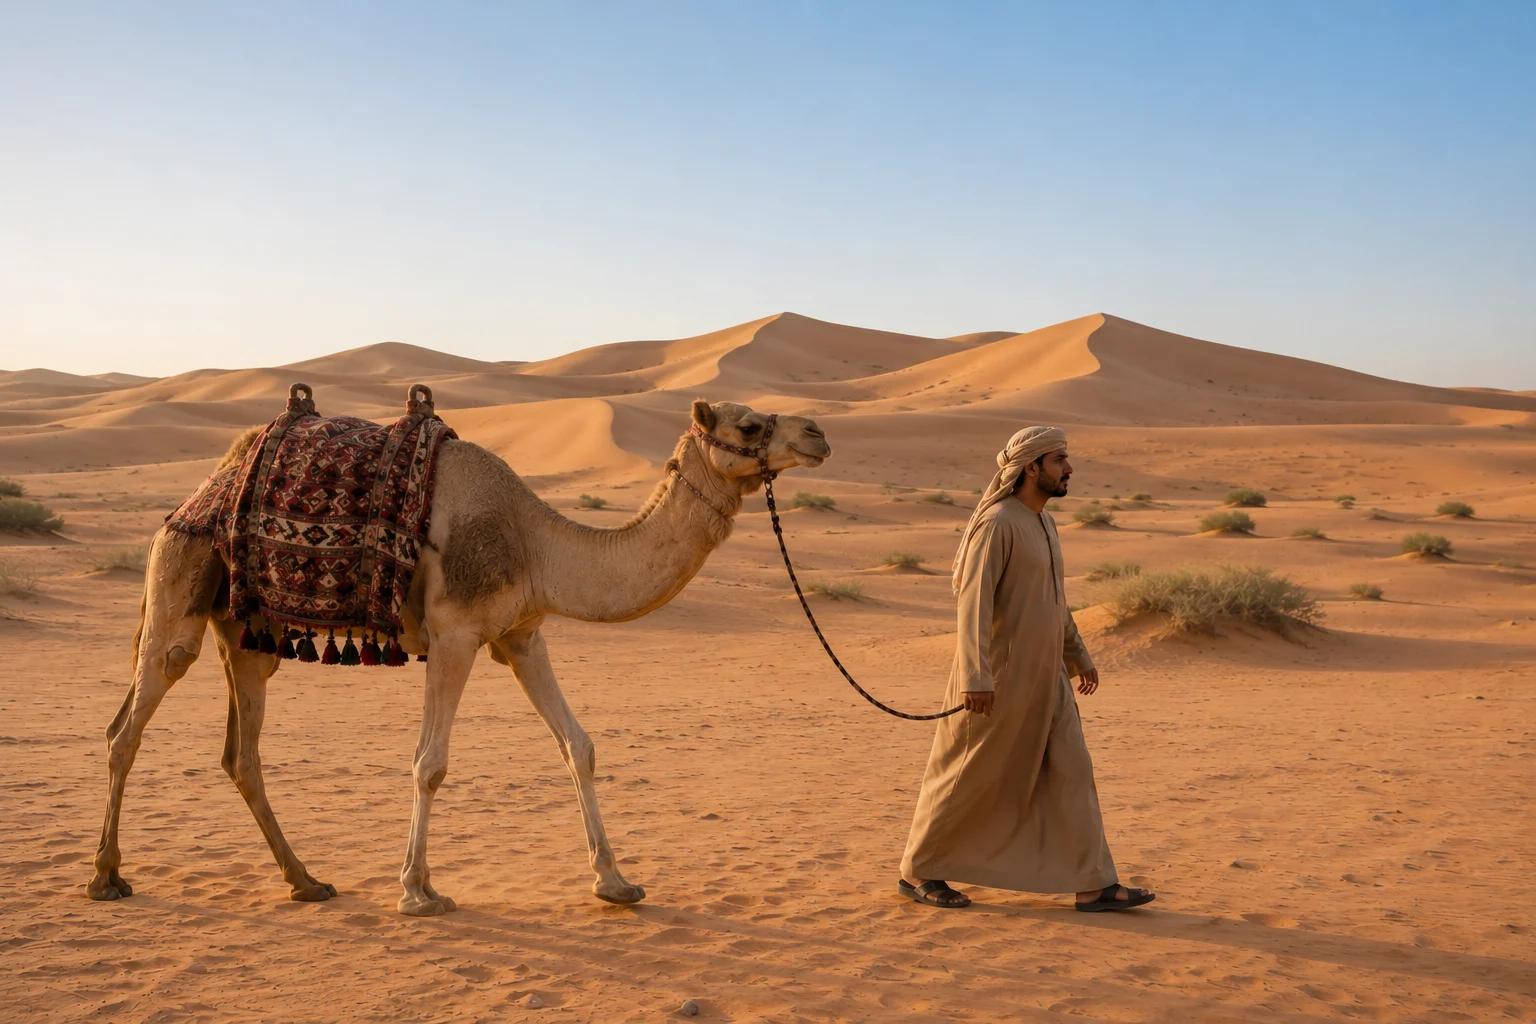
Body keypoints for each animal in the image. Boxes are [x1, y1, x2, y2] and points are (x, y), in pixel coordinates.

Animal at [88, 399, 831, 915]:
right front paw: (418, 891)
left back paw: (306, 881)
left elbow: (579, 745)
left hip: (246, 633)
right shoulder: (453, 635)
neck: (538, 544)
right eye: (750, 425)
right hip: (180, 580)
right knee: (127, 725)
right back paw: (106, 876)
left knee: (241, 754)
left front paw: (615, 881)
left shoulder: (522, 636)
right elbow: (430, 762)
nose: (818, 433)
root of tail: (199, 495)